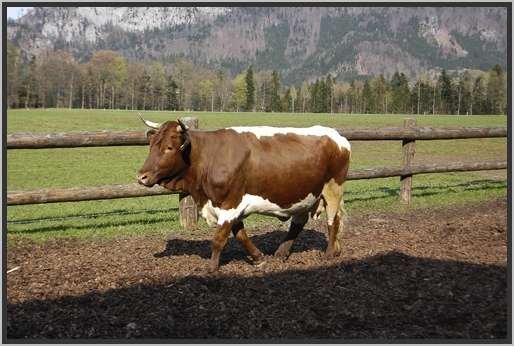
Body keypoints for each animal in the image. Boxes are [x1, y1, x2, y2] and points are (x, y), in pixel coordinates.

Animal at [138, 117, 350, 272]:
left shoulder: (229, 204)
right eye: (151, 145)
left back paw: (329, 253)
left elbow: (219, 239)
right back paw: (281, 252)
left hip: (332, 188)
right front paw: (258, 258)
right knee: (299, 222)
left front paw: (211, 268)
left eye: (169, 147)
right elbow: (240, 235)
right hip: (303, 194)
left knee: (333, 221)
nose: (141, 176)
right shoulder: (232, 205)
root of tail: (338, 137)